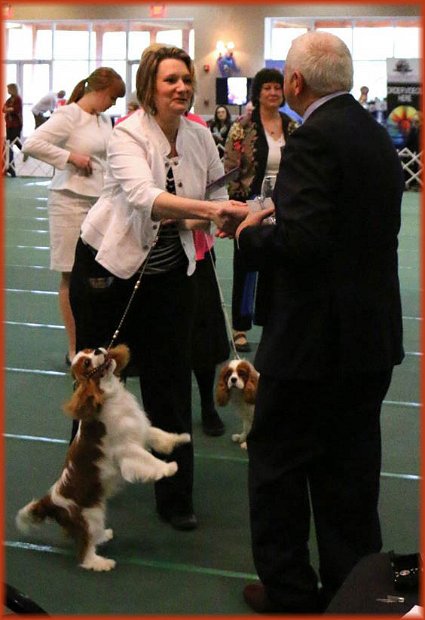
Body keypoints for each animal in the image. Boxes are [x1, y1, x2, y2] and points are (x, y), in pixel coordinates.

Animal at [15, 344, 189, 572]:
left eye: (90, 350)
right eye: (87, 363)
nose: (99, 350)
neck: (110, 395)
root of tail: (50, 500)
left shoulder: (140, 429)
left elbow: (158, 434)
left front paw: (180, 438)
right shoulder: (126, 450)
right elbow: (147, 459)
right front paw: (169, 468)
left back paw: (104, 536)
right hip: (90, 517)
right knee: (85, 551)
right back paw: (101, 563)